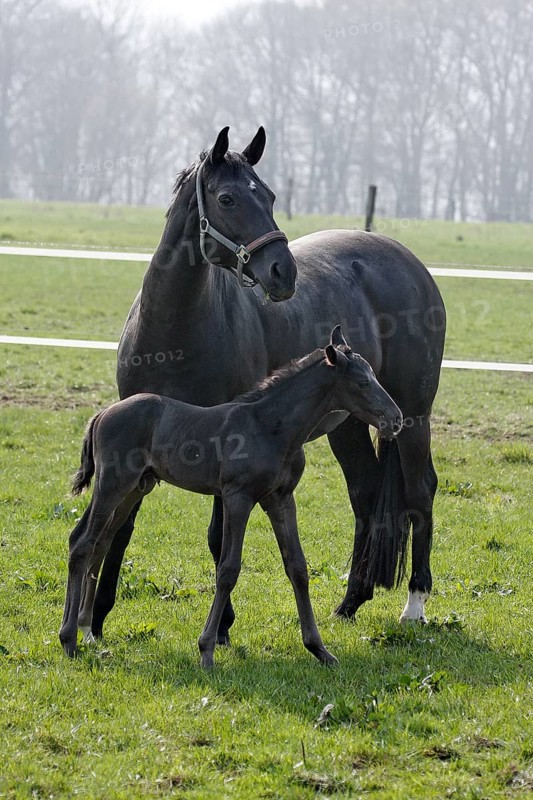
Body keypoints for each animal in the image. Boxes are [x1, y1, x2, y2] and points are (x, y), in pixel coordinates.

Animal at [60, 327, 403, 666]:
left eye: (374, 375)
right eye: (362, 383)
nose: (396, 419)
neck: (269, 427)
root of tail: (103, 412)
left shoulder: (280, 499)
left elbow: (297, 567)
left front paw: (319, 649)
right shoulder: (238, 496)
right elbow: (228, 569)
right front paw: (206, 649)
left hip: (136, 487)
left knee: (99, 541)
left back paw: (86, 629)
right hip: (113, 484)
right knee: (83, 542)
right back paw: (69, 639)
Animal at [87, 126, 445, 644]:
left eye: (272, 195)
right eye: (227, 198)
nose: (283, 271)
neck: (174, 331)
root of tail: (411, 263)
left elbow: (218, 537)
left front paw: (221, 628)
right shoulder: (136, 443)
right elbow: (121, 526)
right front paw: (95, 620)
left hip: (411, 414)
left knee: (420, 492)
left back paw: (414, 605)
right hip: (350, 423)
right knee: (365, 494)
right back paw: (350, 602)